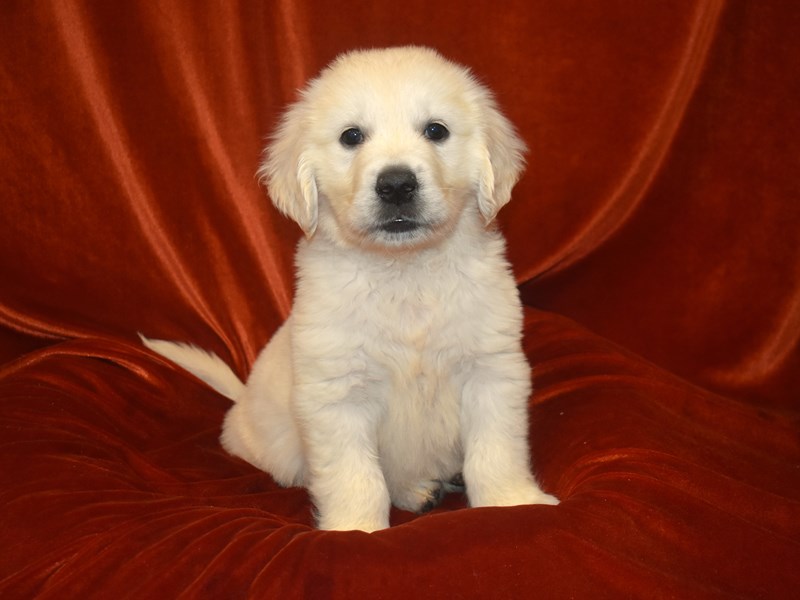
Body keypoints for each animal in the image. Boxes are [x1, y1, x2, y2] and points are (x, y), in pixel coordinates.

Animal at [142, 48, 556, 536]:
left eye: (436, 130)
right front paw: (356, 530)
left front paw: (513, 503)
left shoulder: (492, 371)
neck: (405, 272)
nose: (396, 185)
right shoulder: (337, 396)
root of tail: (239, 402)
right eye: (351, 136)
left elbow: (497, 451)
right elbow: (356, 476)